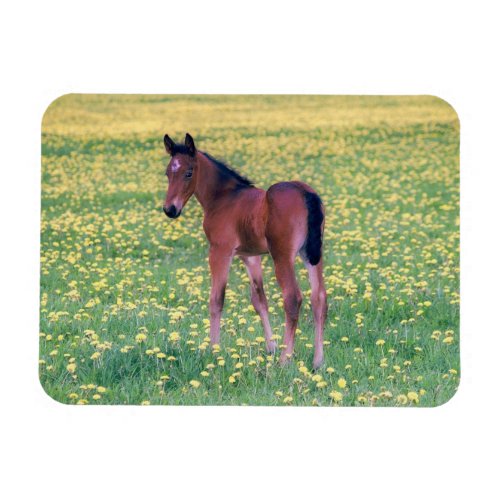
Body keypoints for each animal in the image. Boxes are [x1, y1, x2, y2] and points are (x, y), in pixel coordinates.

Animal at [163, 135, 328, 370]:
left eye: (189, 173)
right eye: (168, 173)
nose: (170, 210)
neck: (224, 198)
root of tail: (305, 193)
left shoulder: (220, 251)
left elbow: (216, 300)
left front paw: (214, 350)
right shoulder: (250, 256)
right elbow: (260, 300)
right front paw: (271, 347)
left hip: (282, 256)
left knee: (292, 298)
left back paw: (285, 360)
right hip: (312, 255)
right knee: (319, 298)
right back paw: (317, 361)